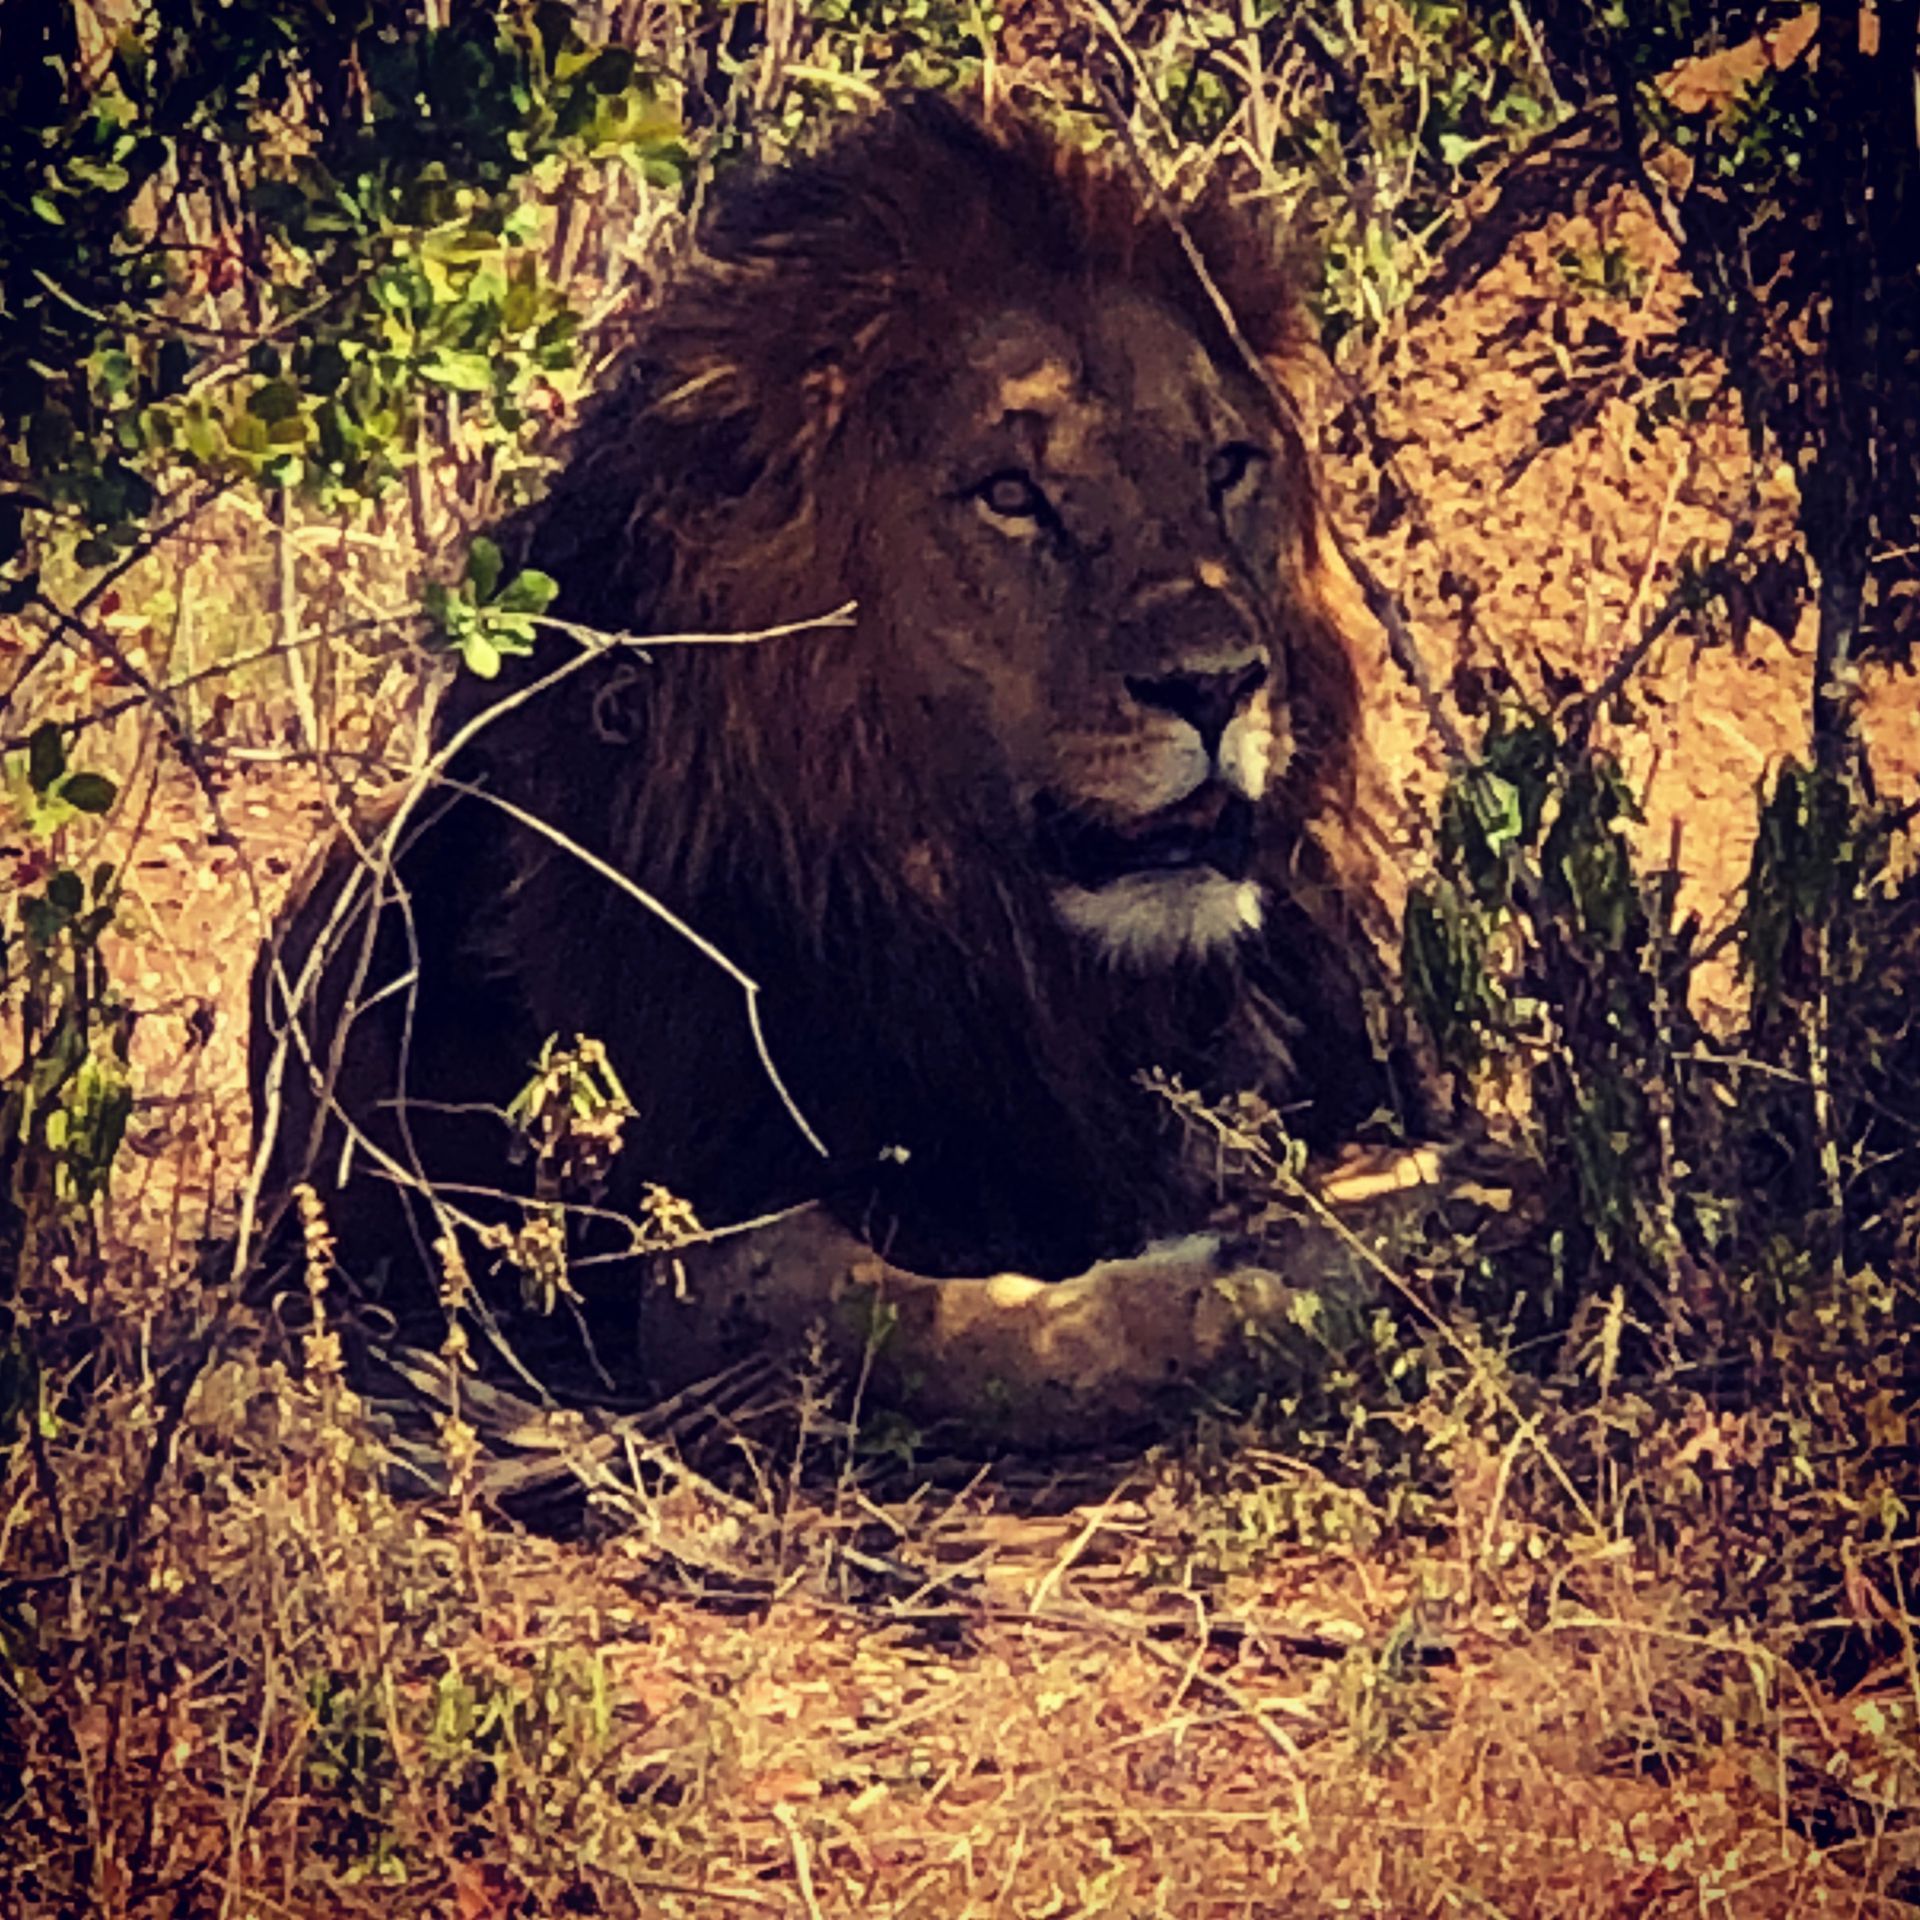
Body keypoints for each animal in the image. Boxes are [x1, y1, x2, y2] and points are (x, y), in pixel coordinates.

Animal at [256, 96, 1421, 1410]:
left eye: (1227, 467)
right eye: (1010, 494)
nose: (1220, 683)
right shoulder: (700, 1224)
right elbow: (959, 1335)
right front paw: (1246, 1286)